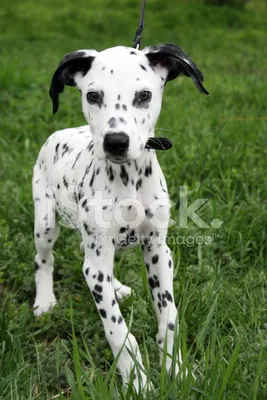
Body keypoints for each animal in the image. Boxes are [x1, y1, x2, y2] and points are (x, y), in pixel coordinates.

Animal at [33, 44, 209, 390]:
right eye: (92, 95)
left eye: (144, 95)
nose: (116, 142)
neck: (129, 180)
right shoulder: (99, 255)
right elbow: (119, 332)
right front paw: (137, 382)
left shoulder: (158, 251)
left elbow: (169, 318)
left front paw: (175, 370)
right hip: (45, 224)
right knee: (44, 259)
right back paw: (44, 300)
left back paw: (115, 287)